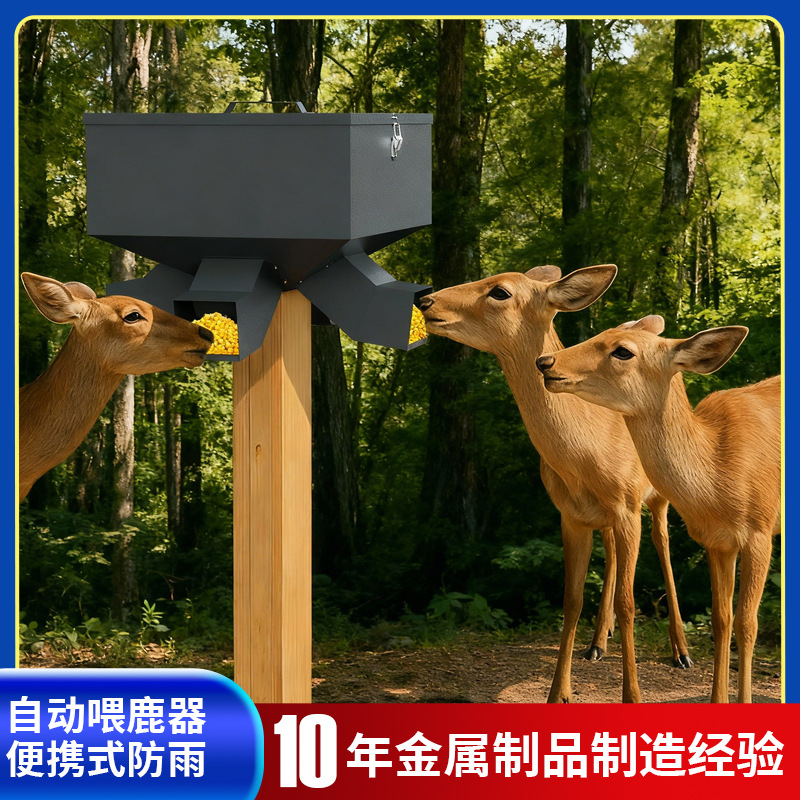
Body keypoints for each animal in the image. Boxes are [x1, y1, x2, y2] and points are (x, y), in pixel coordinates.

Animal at [419, 265, 691, 703]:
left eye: (500, 291)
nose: (425, 299)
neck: (585, 451)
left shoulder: (628, 503)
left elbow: (630, 602)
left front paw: (632, 695)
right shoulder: (570, 514)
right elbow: (571, 599)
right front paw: (558, 692)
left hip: (658, 497)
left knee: (663, 544)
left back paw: (680, 651)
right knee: (611, 553)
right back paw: (598, 642)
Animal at [536, 313, 781, 702]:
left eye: (623, 350)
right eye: (601, 333)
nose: (545, 362)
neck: (720, 471)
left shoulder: (760, 529)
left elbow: (747, 623)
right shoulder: (718, 541)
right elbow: (721, 619)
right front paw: (717, 700)